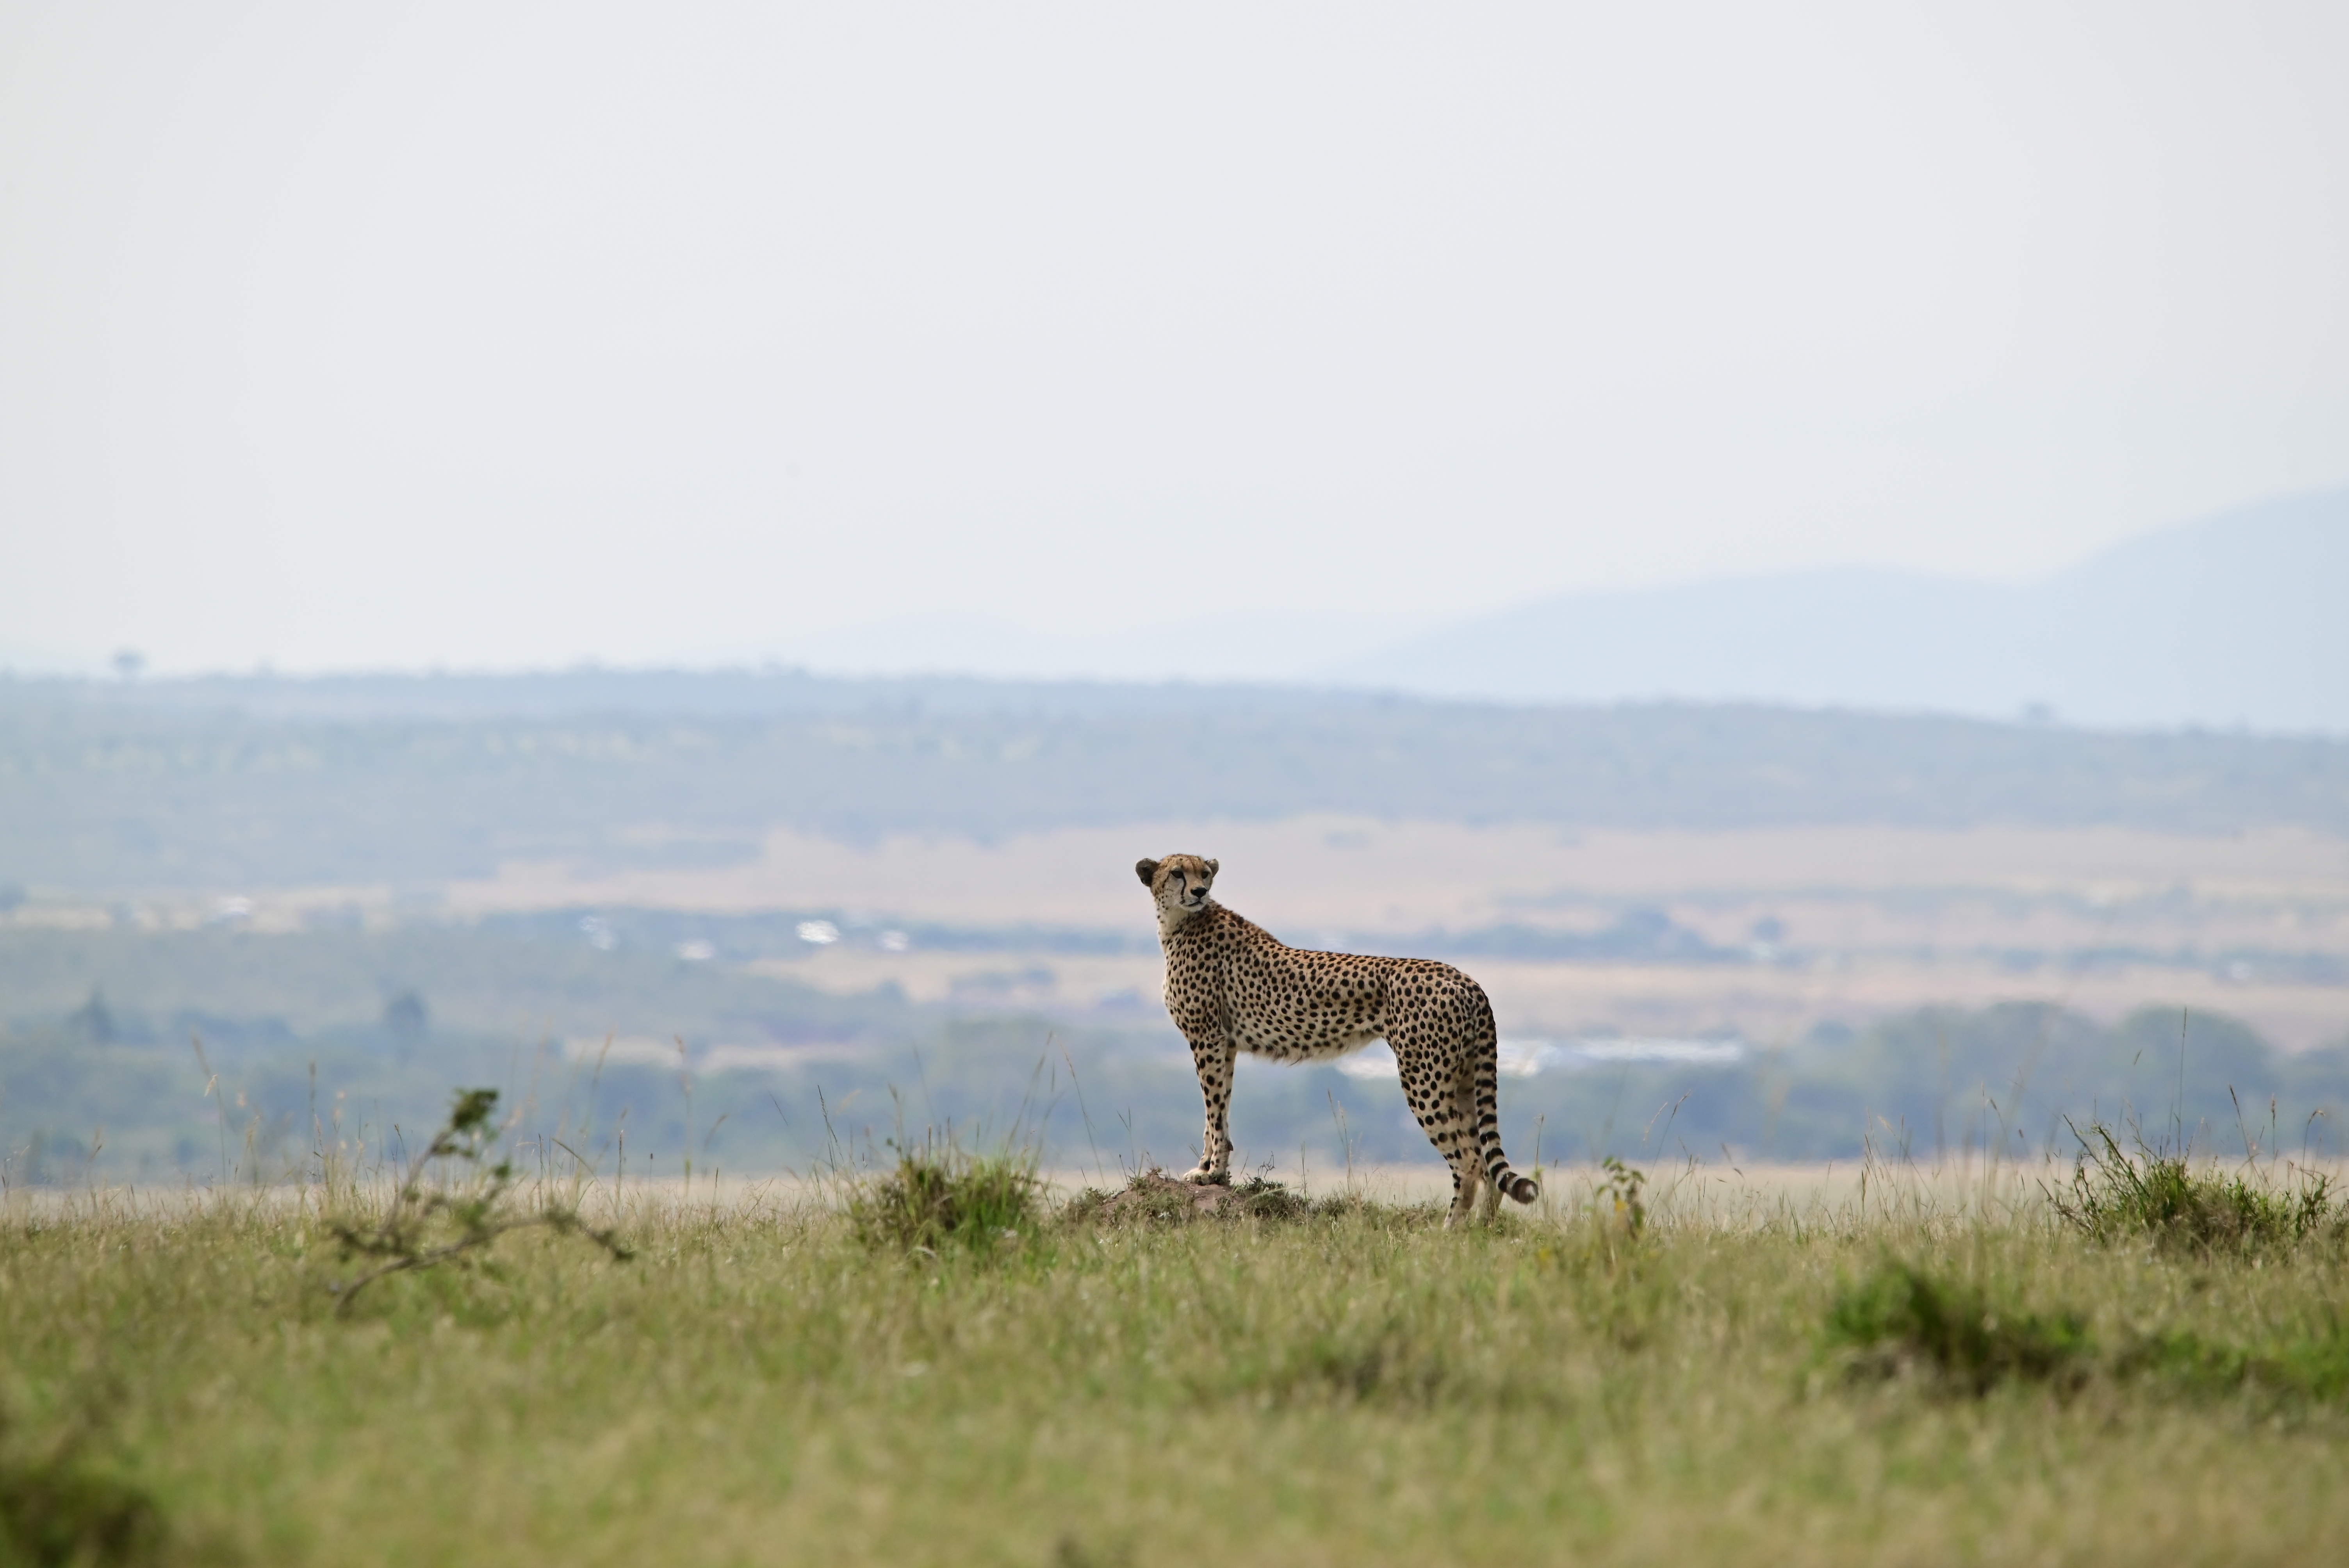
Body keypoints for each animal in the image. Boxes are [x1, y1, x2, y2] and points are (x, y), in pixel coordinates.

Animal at [1136, 852, 1539, 1227]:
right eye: (1178, 873)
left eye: (1204, 873)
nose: (1199, 892)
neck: (1179, 922)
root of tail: (1465, 979)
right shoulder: (1225, 1044)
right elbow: (1219, 1111)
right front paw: (1211, 1168)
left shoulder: (1207, 1038)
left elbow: (1214, 1111)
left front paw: (1210, 1173)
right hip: (1463, 1078)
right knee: (1486, 1164)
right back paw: (1481, 1233)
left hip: (1424, 1079)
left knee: (1469, 1162)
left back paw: (1449, 1233)